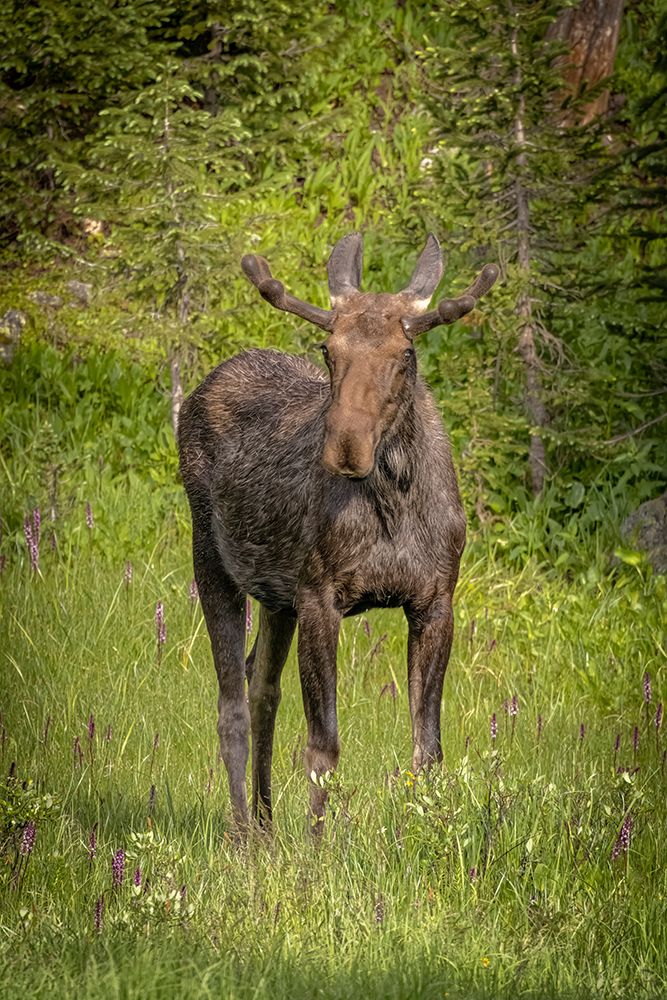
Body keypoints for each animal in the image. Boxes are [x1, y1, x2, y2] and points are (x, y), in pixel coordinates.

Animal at [177, 233, 498, 834]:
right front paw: (317, 846)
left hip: (276, 595)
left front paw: (429, 835)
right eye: (328, 351)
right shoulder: (319, 598)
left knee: (262, 687)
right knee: (231, 704)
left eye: (405, 355)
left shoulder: (434, 601)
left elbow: (428, 747)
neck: (395, 504)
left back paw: (266, 826)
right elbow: (323, 745)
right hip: (211, 557)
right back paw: (243, 834)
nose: (346, 445)